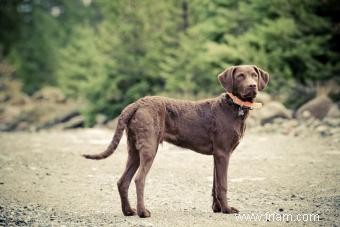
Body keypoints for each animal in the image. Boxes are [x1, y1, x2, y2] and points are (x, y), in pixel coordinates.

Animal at [82, 64, 268, 217]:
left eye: (254, 75)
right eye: (240, 76)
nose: (252, 86)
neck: (234, 106)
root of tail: (136, 104)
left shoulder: (218, 155)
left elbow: (215, 184)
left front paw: (218, 208)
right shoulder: (223, 153)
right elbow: (222, 185)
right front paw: (227, 210)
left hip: (133, 150)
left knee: (123, 181)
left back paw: (128, 211)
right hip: (149, 148)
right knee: (139, 179)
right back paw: (143, 212)